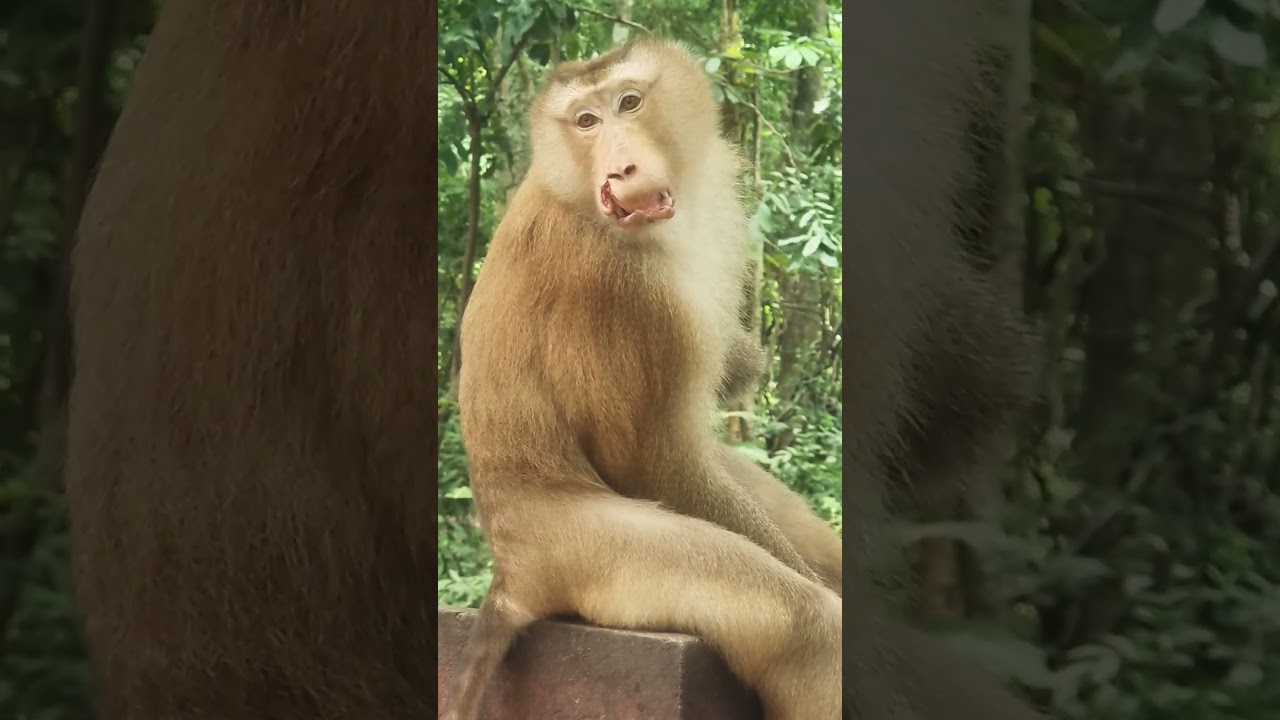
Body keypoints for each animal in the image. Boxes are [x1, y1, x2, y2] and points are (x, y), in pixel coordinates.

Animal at [444, 37, 844, 720]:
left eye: (628, 103)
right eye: (586, 121)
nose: (622, 167)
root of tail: (511, 573)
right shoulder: (615, 287)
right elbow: (647, 458)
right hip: (594, 554)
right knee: (804, 625)